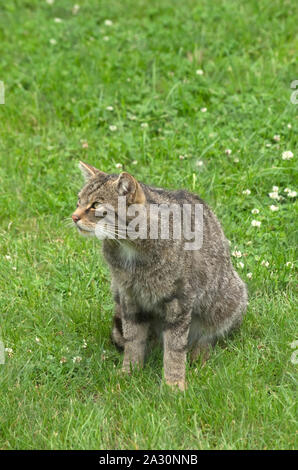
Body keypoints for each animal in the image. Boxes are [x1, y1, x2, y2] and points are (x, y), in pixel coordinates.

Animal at [72, 162, 247, 390]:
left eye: (95, 205)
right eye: (79, 201)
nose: (74, 216)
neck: (129, 246)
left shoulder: (180, 299)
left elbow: (175, 348)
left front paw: (173, 384)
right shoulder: (129, 296)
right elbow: (133, 339)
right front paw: (129, 372)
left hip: (228, 298)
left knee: (208, 335)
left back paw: (199, 353)